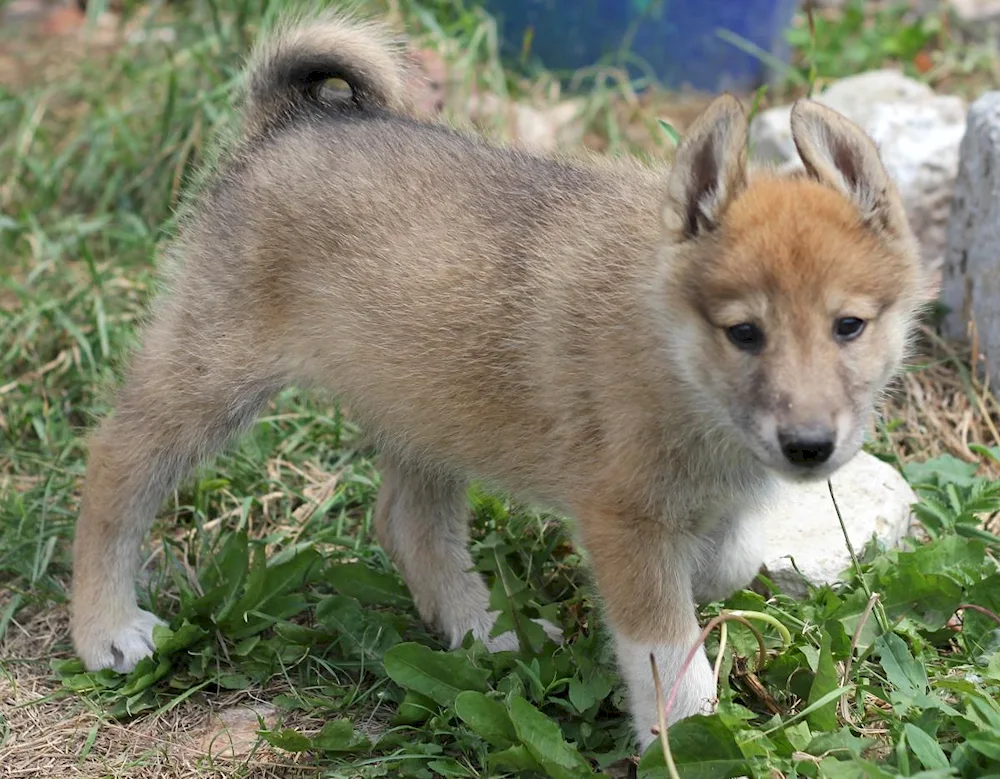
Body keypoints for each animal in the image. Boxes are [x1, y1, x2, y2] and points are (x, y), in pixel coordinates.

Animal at [72, 9, 928, 748]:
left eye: (848, 326)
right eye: (744, 332)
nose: (810, 446)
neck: (675, 354)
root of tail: (291, 119)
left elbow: (733, 556)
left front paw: (713, 577)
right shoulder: (623, 524)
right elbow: (669, 657)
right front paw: (687, 740)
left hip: (425, 406)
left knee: (407, 524)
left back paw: (485, 631)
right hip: (213, 375)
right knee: (115, 462)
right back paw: (106, 629)